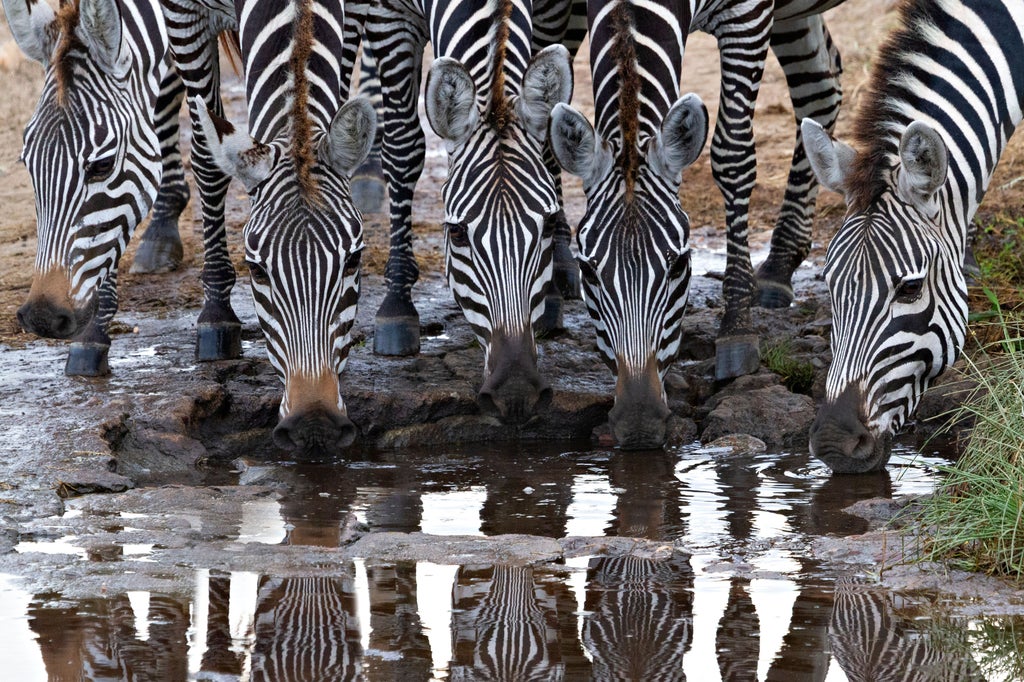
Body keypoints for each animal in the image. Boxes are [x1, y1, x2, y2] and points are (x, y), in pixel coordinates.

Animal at [350, 0, 577, 421]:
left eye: (549, 222)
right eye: (455, 232)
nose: (516, 394)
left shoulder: (554, 11)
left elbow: (549, 137)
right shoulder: (388, 18)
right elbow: (404, 145)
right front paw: (397, 301)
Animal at [552, 0, 847, 446]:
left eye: (680, 265)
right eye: (589, 272)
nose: (639, 425)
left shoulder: (749, 17)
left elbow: (732, 153)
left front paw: (736, 327)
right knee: (821, 90)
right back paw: (779, 265)